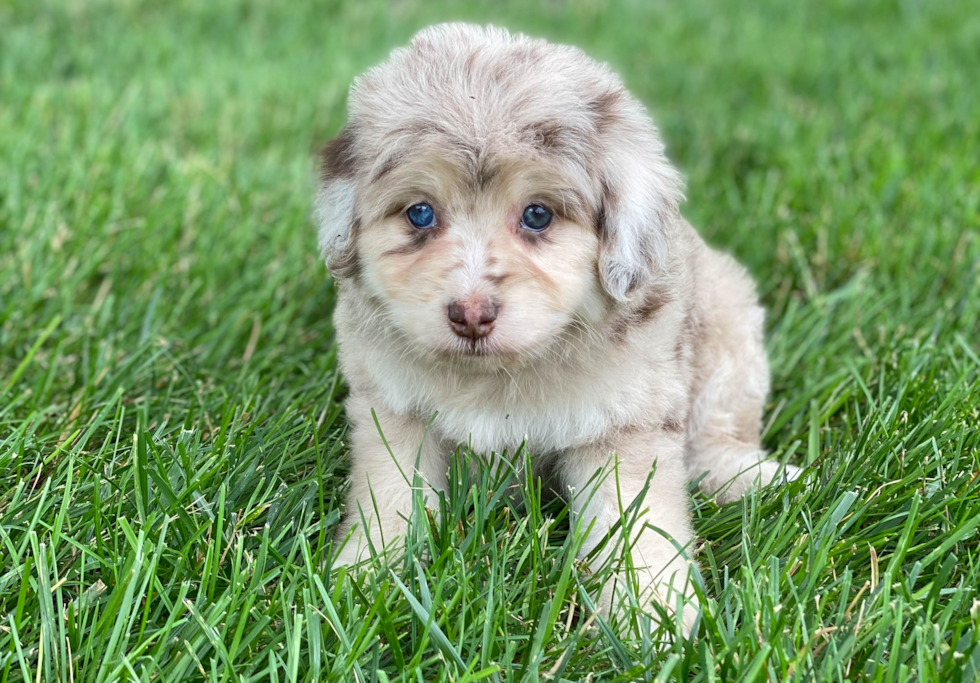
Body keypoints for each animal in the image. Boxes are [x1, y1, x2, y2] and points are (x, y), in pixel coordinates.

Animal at [318, 24, 800, 636]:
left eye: (538, 215)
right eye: (420, 214)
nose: (471, 314)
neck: (498, 377)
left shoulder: (622, 426)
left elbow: (635, 522)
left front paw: (654, 612)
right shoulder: (394, 412)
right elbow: (389, 497)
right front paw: (365, 581)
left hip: (729, 325)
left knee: (718, 428)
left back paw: (751, 477)